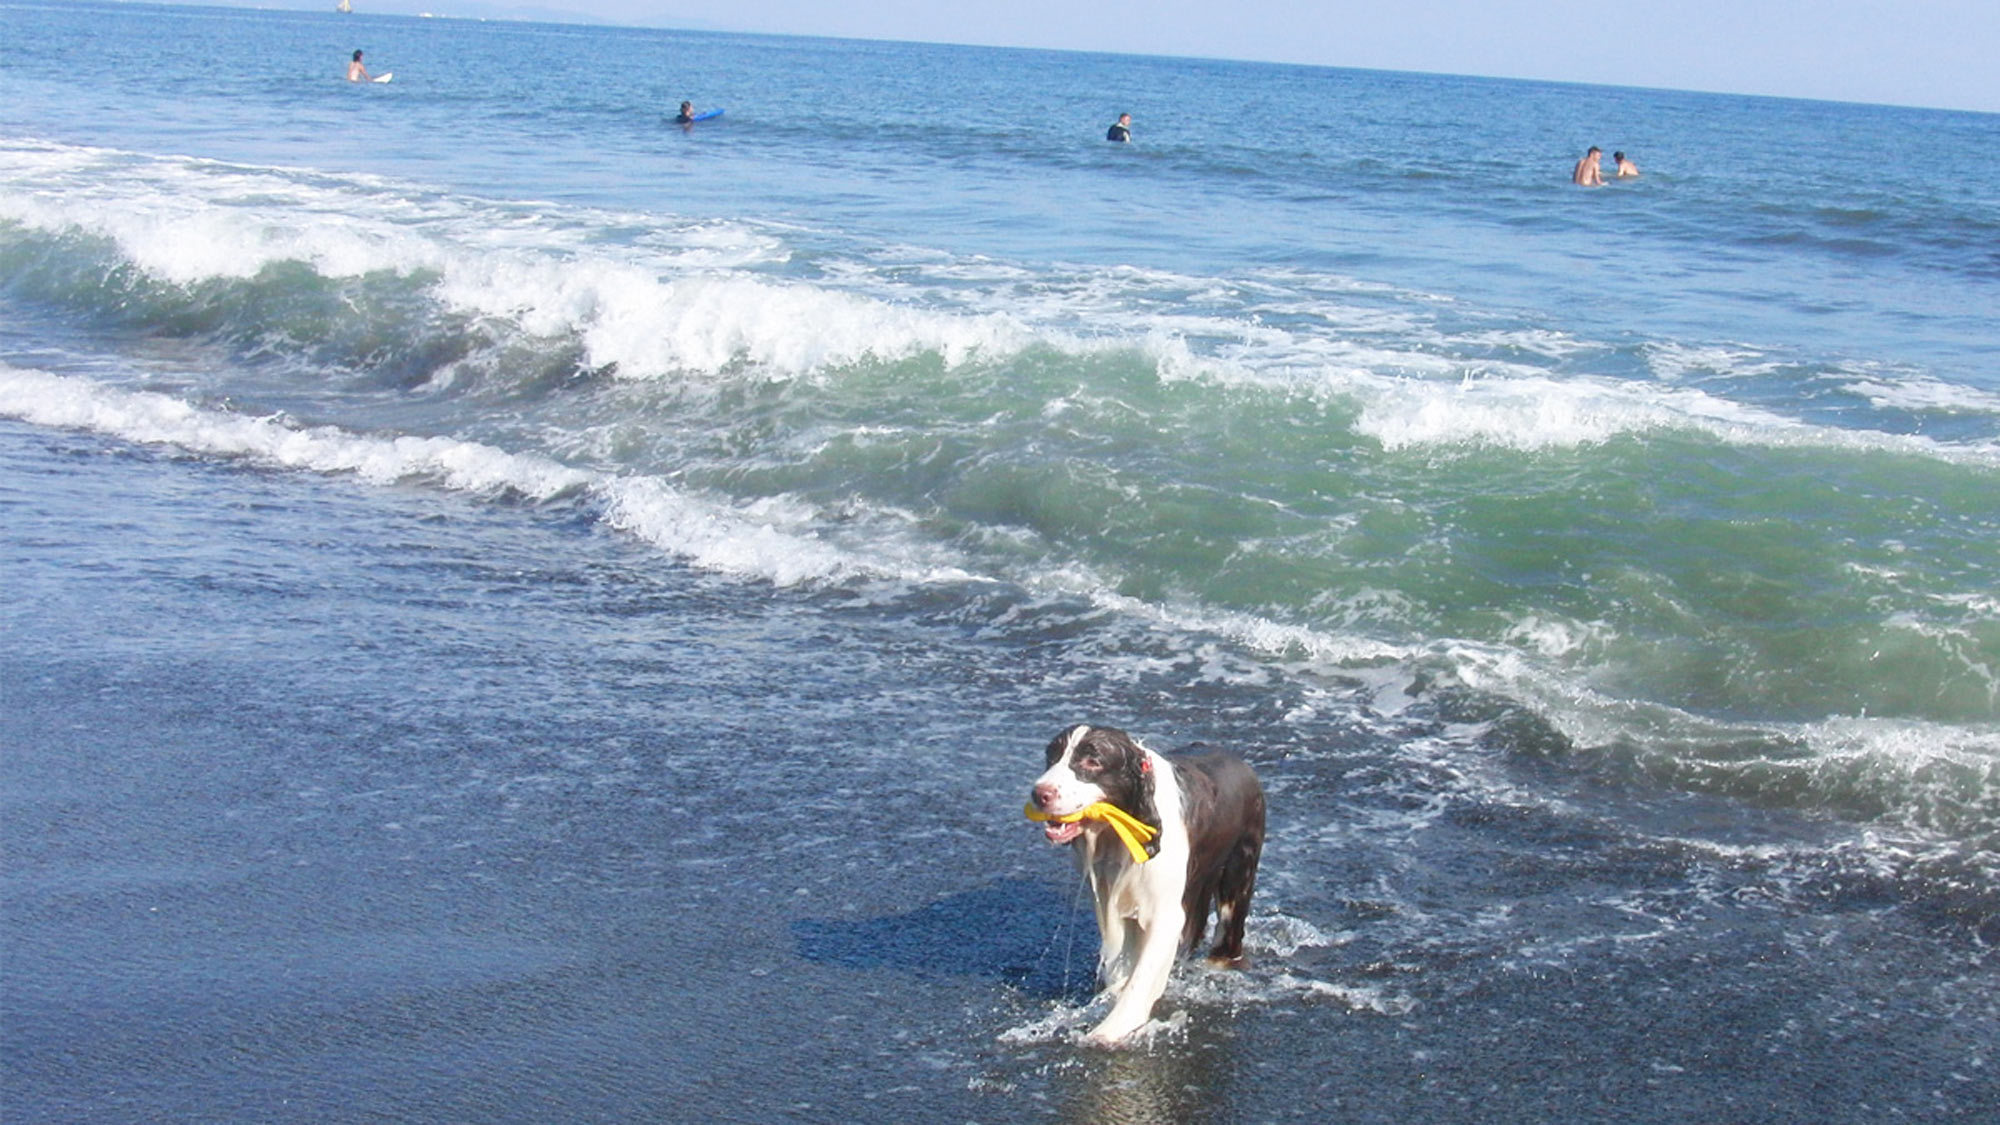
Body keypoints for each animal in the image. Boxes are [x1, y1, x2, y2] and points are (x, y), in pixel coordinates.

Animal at [1032, 720, 1264, 1040]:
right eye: (1051, 756)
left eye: (1093, 761)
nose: (1039, 793)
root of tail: (1244, 765)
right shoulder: (1108, 897)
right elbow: (1123, 963)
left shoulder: (1165, 913)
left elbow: (1142, 975)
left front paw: (1111, 1029)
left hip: (1237, 875)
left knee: (1228, 936)